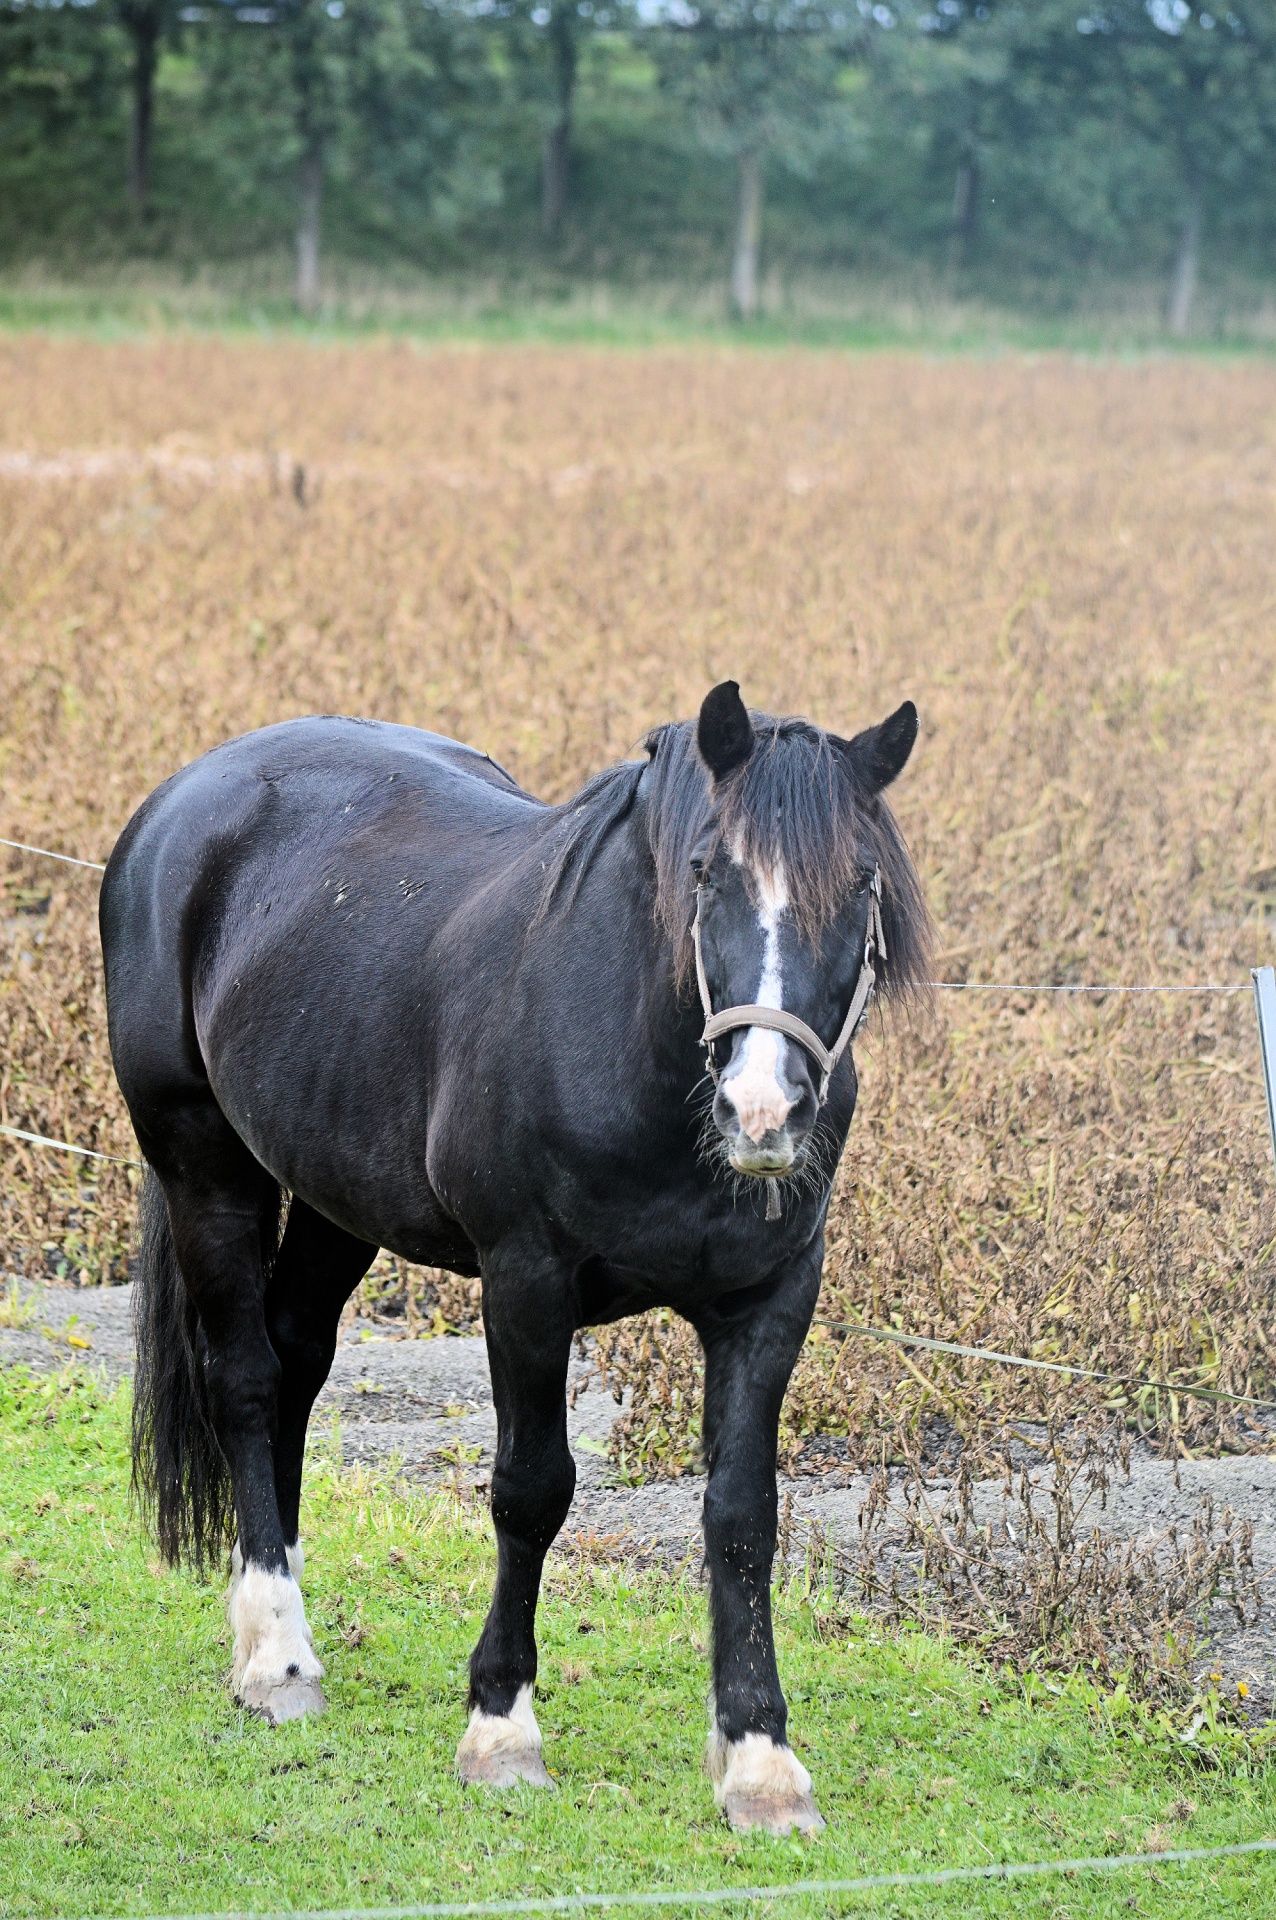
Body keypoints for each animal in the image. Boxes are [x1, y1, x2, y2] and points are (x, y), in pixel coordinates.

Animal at [104, 683, 924, 1835]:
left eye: (861, 883)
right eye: (706, 870)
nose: (762, 1110)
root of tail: (187, 794)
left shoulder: (770, 1301)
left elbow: (742, 1515)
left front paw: (760, 1762)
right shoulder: (525, 1285)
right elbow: (531, 1492)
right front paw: (501, 1729)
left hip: (336, 1197)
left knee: (297, 1367)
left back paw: (283, 1610)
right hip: (203, 1165)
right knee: (249, 1382)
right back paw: (274, 1655)